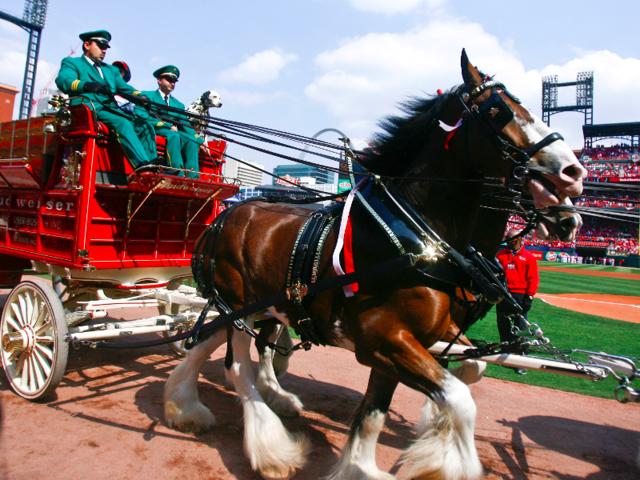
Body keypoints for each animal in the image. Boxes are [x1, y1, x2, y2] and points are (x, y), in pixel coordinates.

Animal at [164, 51, 584, 480]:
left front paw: (370, 461)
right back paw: (269, 448)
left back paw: (191, 405)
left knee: (213, 341)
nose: (574, 173)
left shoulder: (411, 340)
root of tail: (225, 215)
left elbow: (382, 409)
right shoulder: (383, 339)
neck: (415, 237)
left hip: (258, 306)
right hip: (238, 304)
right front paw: (440, 460)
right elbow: (460, 400)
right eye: (499, 110)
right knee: (237, 366)